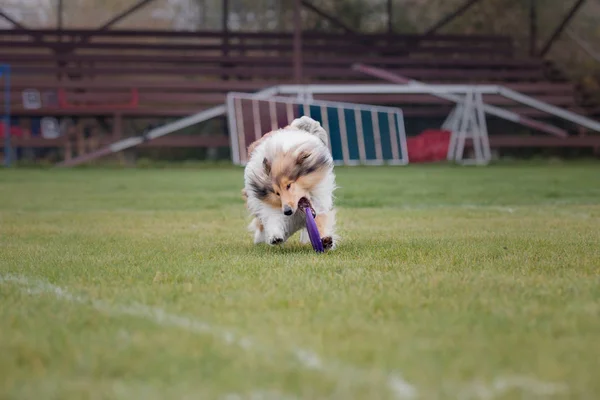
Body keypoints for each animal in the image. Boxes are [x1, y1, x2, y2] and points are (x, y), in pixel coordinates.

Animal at [244, 115, 338, 250]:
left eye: (289, 185)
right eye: (277, 193)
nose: (287, 211)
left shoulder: (319, 203)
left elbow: (320, 220)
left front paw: (326, 240)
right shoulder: (270, 207)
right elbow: (274, 219)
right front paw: (275, 237)